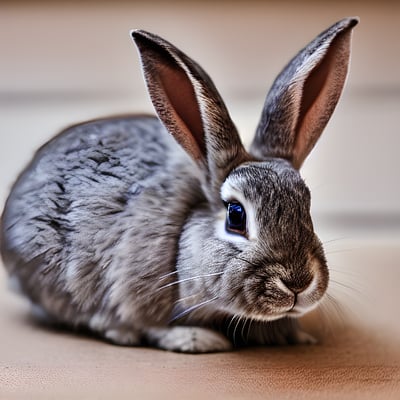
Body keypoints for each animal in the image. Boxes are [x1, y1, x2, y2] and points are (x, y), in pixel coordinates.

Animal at [0, 17, 356, 352]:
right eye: (236, 215)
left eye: (306, 205)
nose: (298, 282)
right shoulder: (136, 290)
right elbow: (152, 324)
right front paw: (195, 339)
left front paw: (292, 336)